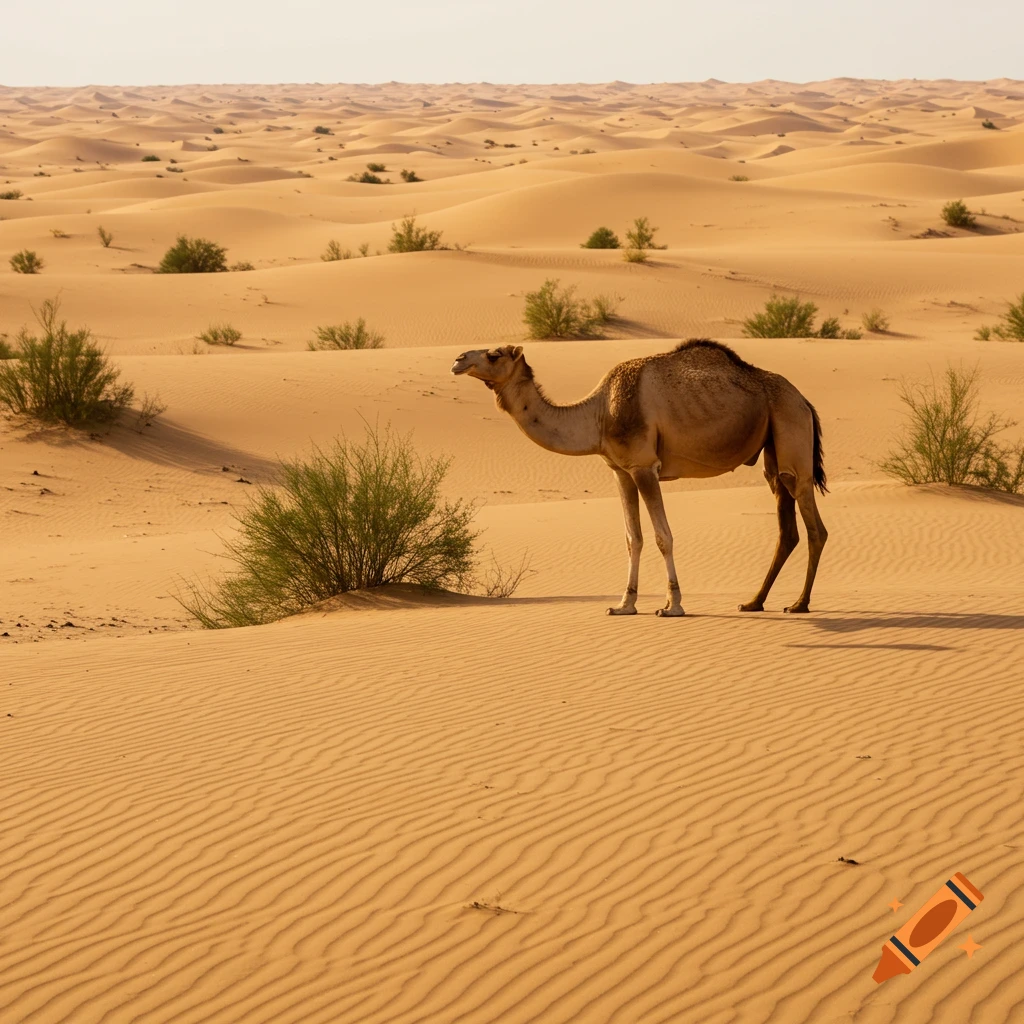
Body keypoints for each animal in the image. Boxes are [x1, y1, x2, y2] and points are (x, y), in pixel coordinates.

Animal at [451, 339, 828, 616]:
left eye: (494, 354)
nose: (457, 359)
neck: (599, 413)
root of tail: (805, 400)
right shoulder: (621, 470)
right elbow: (633, 538)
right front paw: (624, 605)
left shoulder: (645, 467)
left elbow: (663, 536)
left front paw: (672, 606)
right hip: (772, 450)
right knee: (786, 523)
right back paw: (754, 602)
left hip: (791, 428)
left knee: (814, 526)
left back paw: (799, 604)